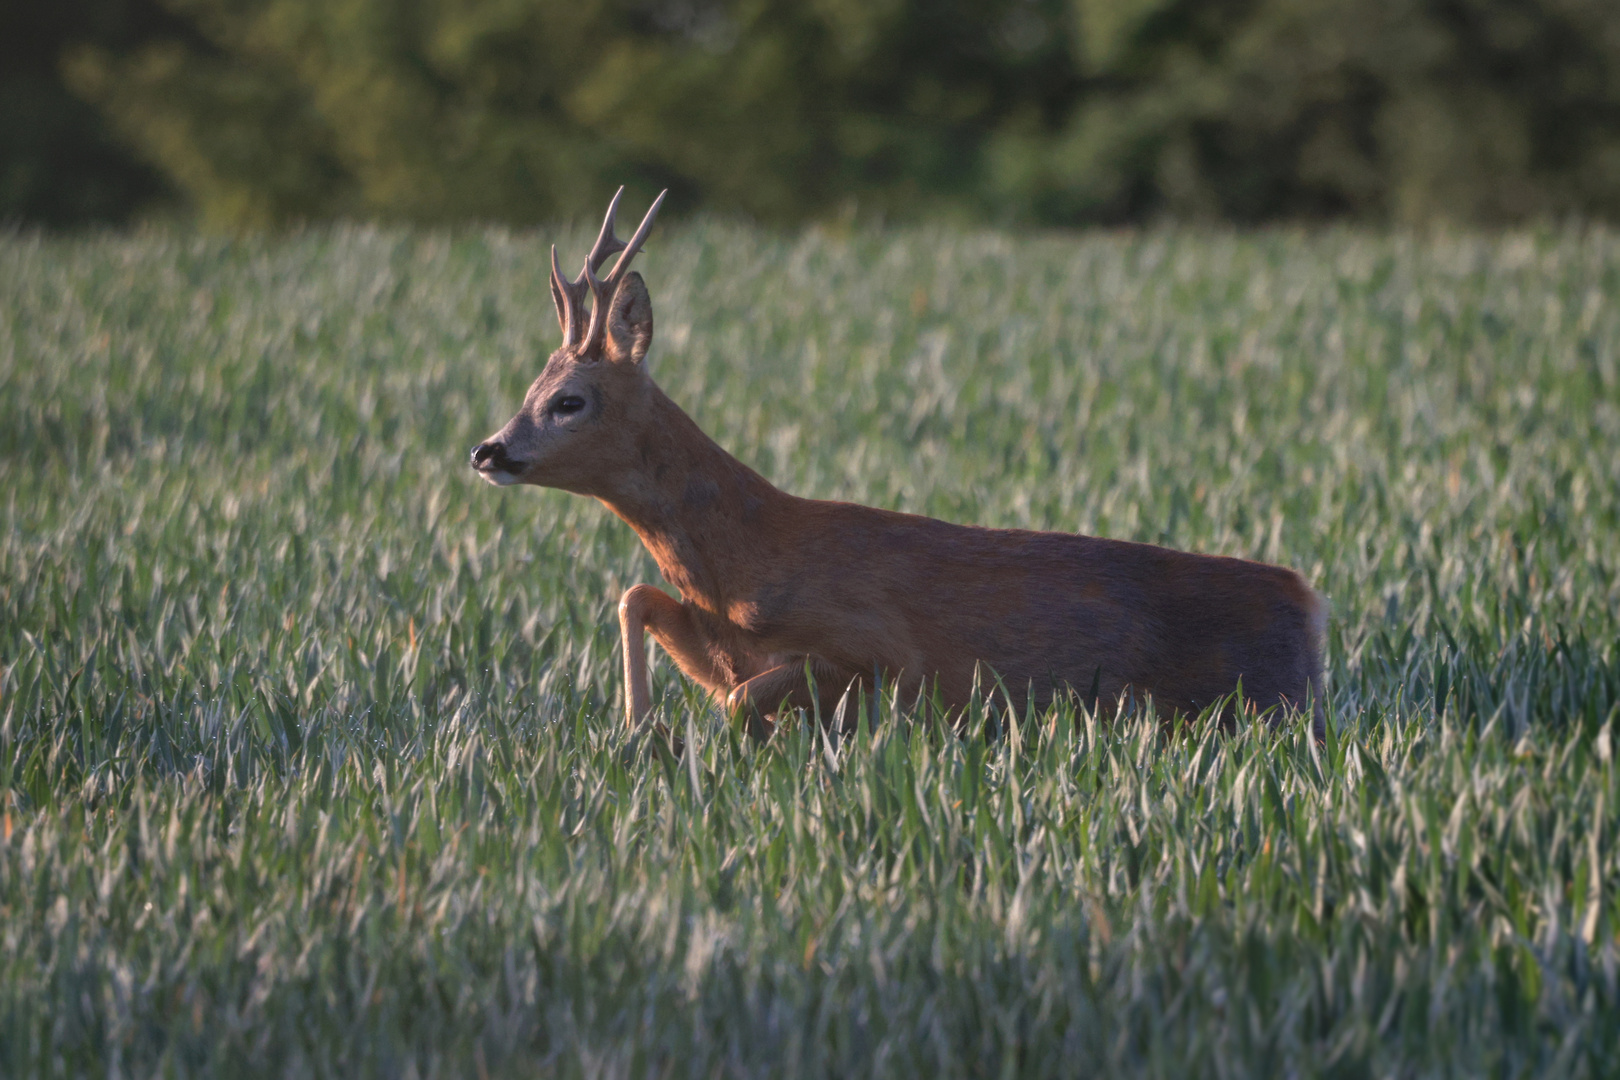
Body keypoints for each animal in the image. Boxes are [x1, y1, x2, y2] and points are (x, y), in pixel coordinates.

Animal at [469, 187, 1328, 744]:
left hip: (1254, 701)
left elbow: (742, 701)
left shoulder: (880, 649)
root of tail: (1307, 598)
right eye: (529, 386)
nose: (488, 450)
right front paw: (637, 729)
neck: (744, 559)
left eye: (570, 400)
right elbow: (638, 599)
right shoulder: (710, 629)